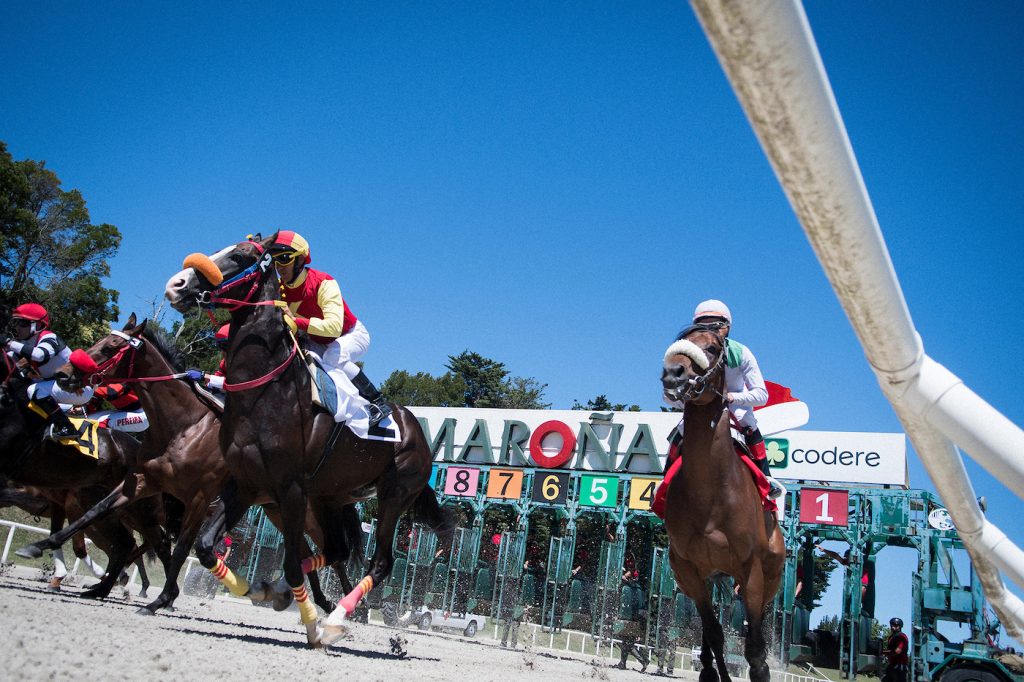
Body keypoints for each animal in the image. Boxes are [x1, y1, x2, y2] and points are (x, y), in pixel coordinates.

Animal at [165, 232, 450, 643]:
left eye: (239, 256)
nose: (177, 284)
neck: (266, 391)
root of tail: (418, 433)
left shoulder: (291, 487)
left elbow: (292, 562)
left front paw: (312, 623)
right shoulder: (247, 483)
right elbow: (205, 546)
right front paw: (259, 590)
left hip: (394, 495)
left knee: (380, 562)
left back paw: (337, 617)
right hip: (330, 497)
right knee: (337, 549)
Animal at [655, 325, 782, 679]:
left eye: (712, 348)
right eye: (678, 343)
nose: (673, 373)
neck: (709, 494)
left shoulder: (751, 569)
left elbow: (754, 646)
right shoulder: (688, 569)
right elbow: (713, 633)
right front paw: (712, 673)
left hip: (772, 575)